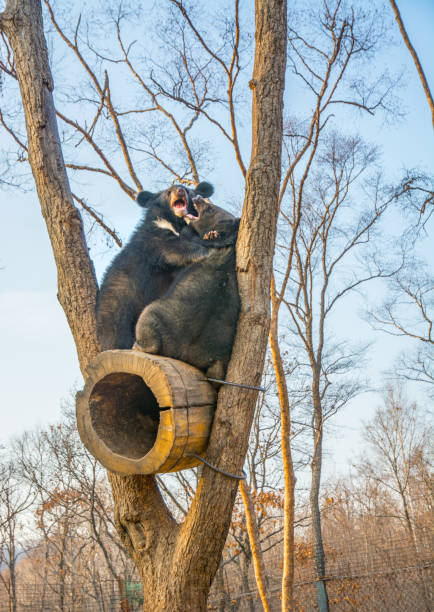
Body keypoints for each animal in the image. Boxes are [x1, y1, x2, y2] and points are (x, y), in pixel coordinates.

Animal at [96, 182, 215, 352]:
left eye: (187, 190)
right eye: (168, 192)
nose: (179, 190)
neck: (177, 222)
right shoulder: (155, 237)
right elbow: (177, 250)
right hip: (118, 305)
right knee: (116, 333)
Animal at [134, 196, 239, 380]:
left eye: (210, 209)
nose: (198, 197)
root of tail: (183, 352)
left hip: (153, 315)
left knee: (149, 336)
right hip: (220, 356)